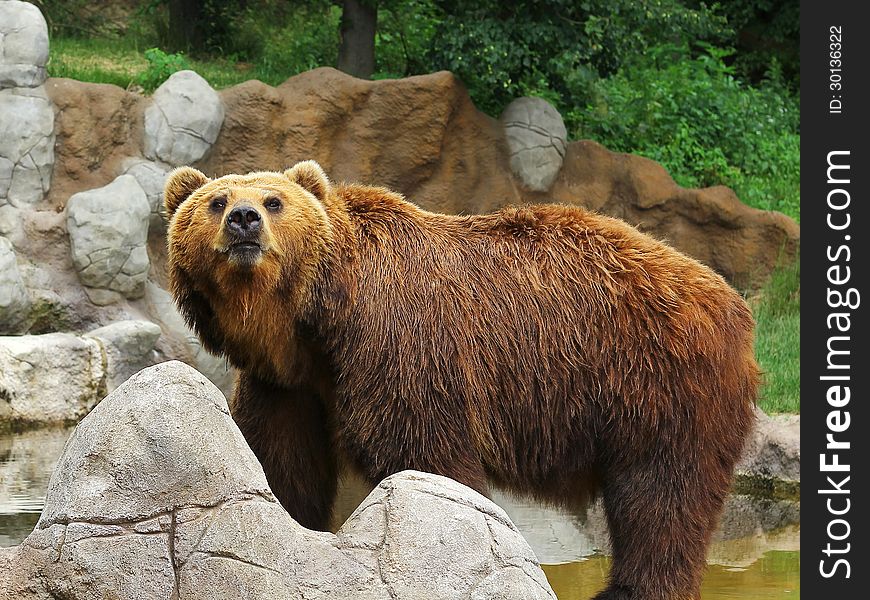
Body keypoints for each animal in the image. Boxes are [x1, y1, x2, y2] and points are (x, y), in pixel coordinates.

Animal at [165, 161, 764, 600]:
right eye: (216, 200)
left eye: (274, 201)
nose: (244, 219)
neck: (314, 319)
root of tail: (730, 300)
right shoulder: (288, 386)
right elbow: (282, 460)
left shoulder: (401, 347)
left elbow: (426, 454)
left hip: (657, 379)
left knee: (661, 495)